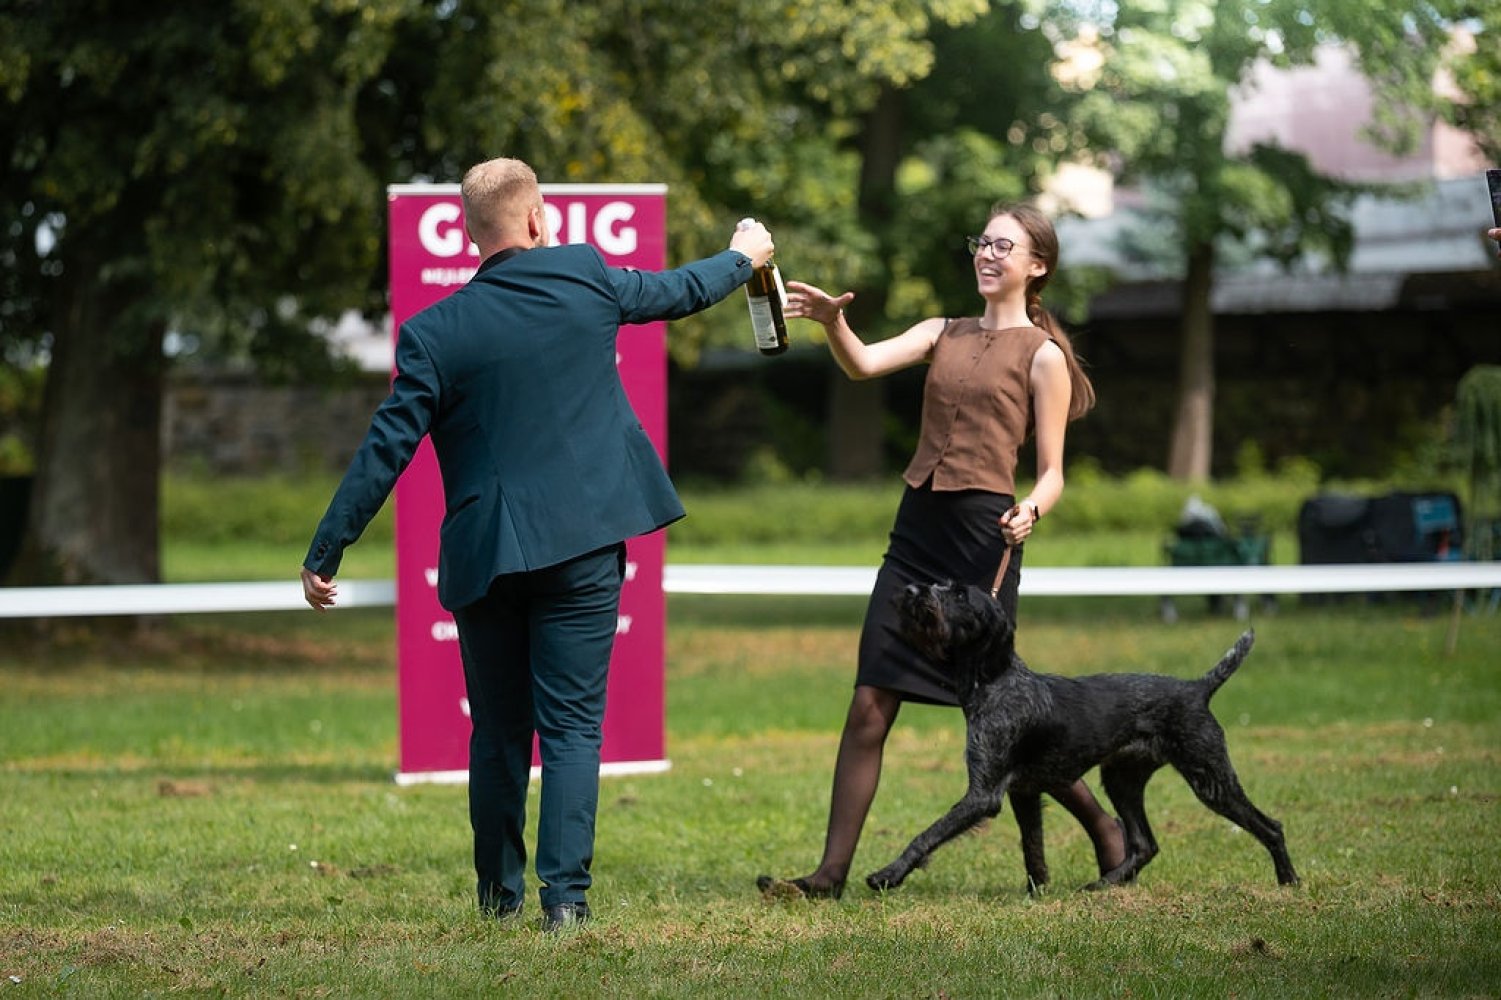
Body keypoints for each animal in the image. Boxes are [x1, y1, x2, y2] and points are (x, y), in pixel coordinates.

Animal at [864, 582, 1299, 895]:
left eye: (958, 593)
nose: (911, 590)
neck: (994, 680)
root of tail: (1197, 689)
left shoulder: (983, 794)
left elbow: (927, 835)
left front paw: (887, 875)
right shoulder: (1023, 792)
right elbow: (1032, 848)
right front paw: (1037, 892)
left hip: (1210, 778)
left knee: (1271, 826)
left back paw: (1289, 882)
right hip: (1122, 780)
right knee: (1144, 843)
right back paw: (1104, 884)